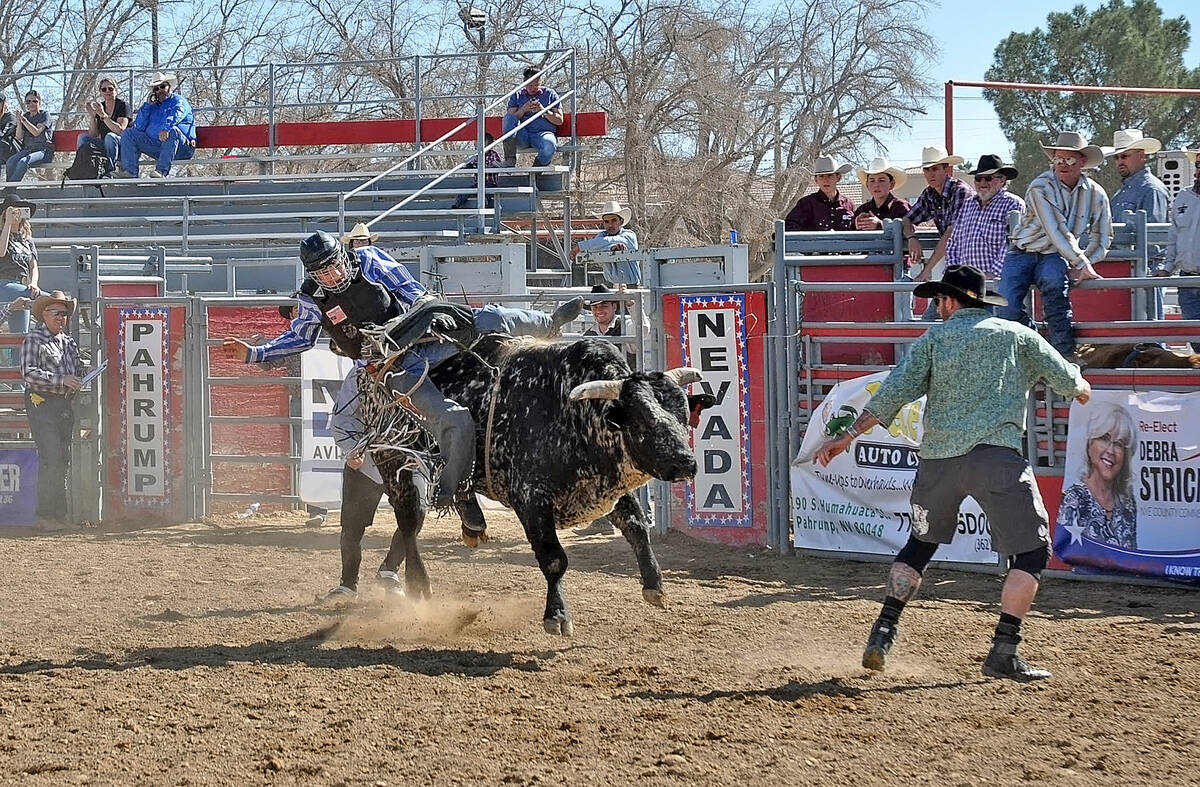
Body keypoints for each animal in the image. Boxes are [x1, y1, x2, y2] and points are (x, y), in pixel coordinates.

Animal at [360, 335, 705, 638]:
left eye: (683, 415)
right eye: (642, 421)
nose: (685, 462)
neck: (575, 415)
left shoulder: (604, 490)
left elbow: (636, 527)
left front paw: (654, 584)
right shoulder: (530, 498)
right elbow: (553, 558)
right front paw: (557, 616)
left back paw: (470, 524)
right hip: (398, 464)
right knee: (409, 521)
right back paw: (418, 583)